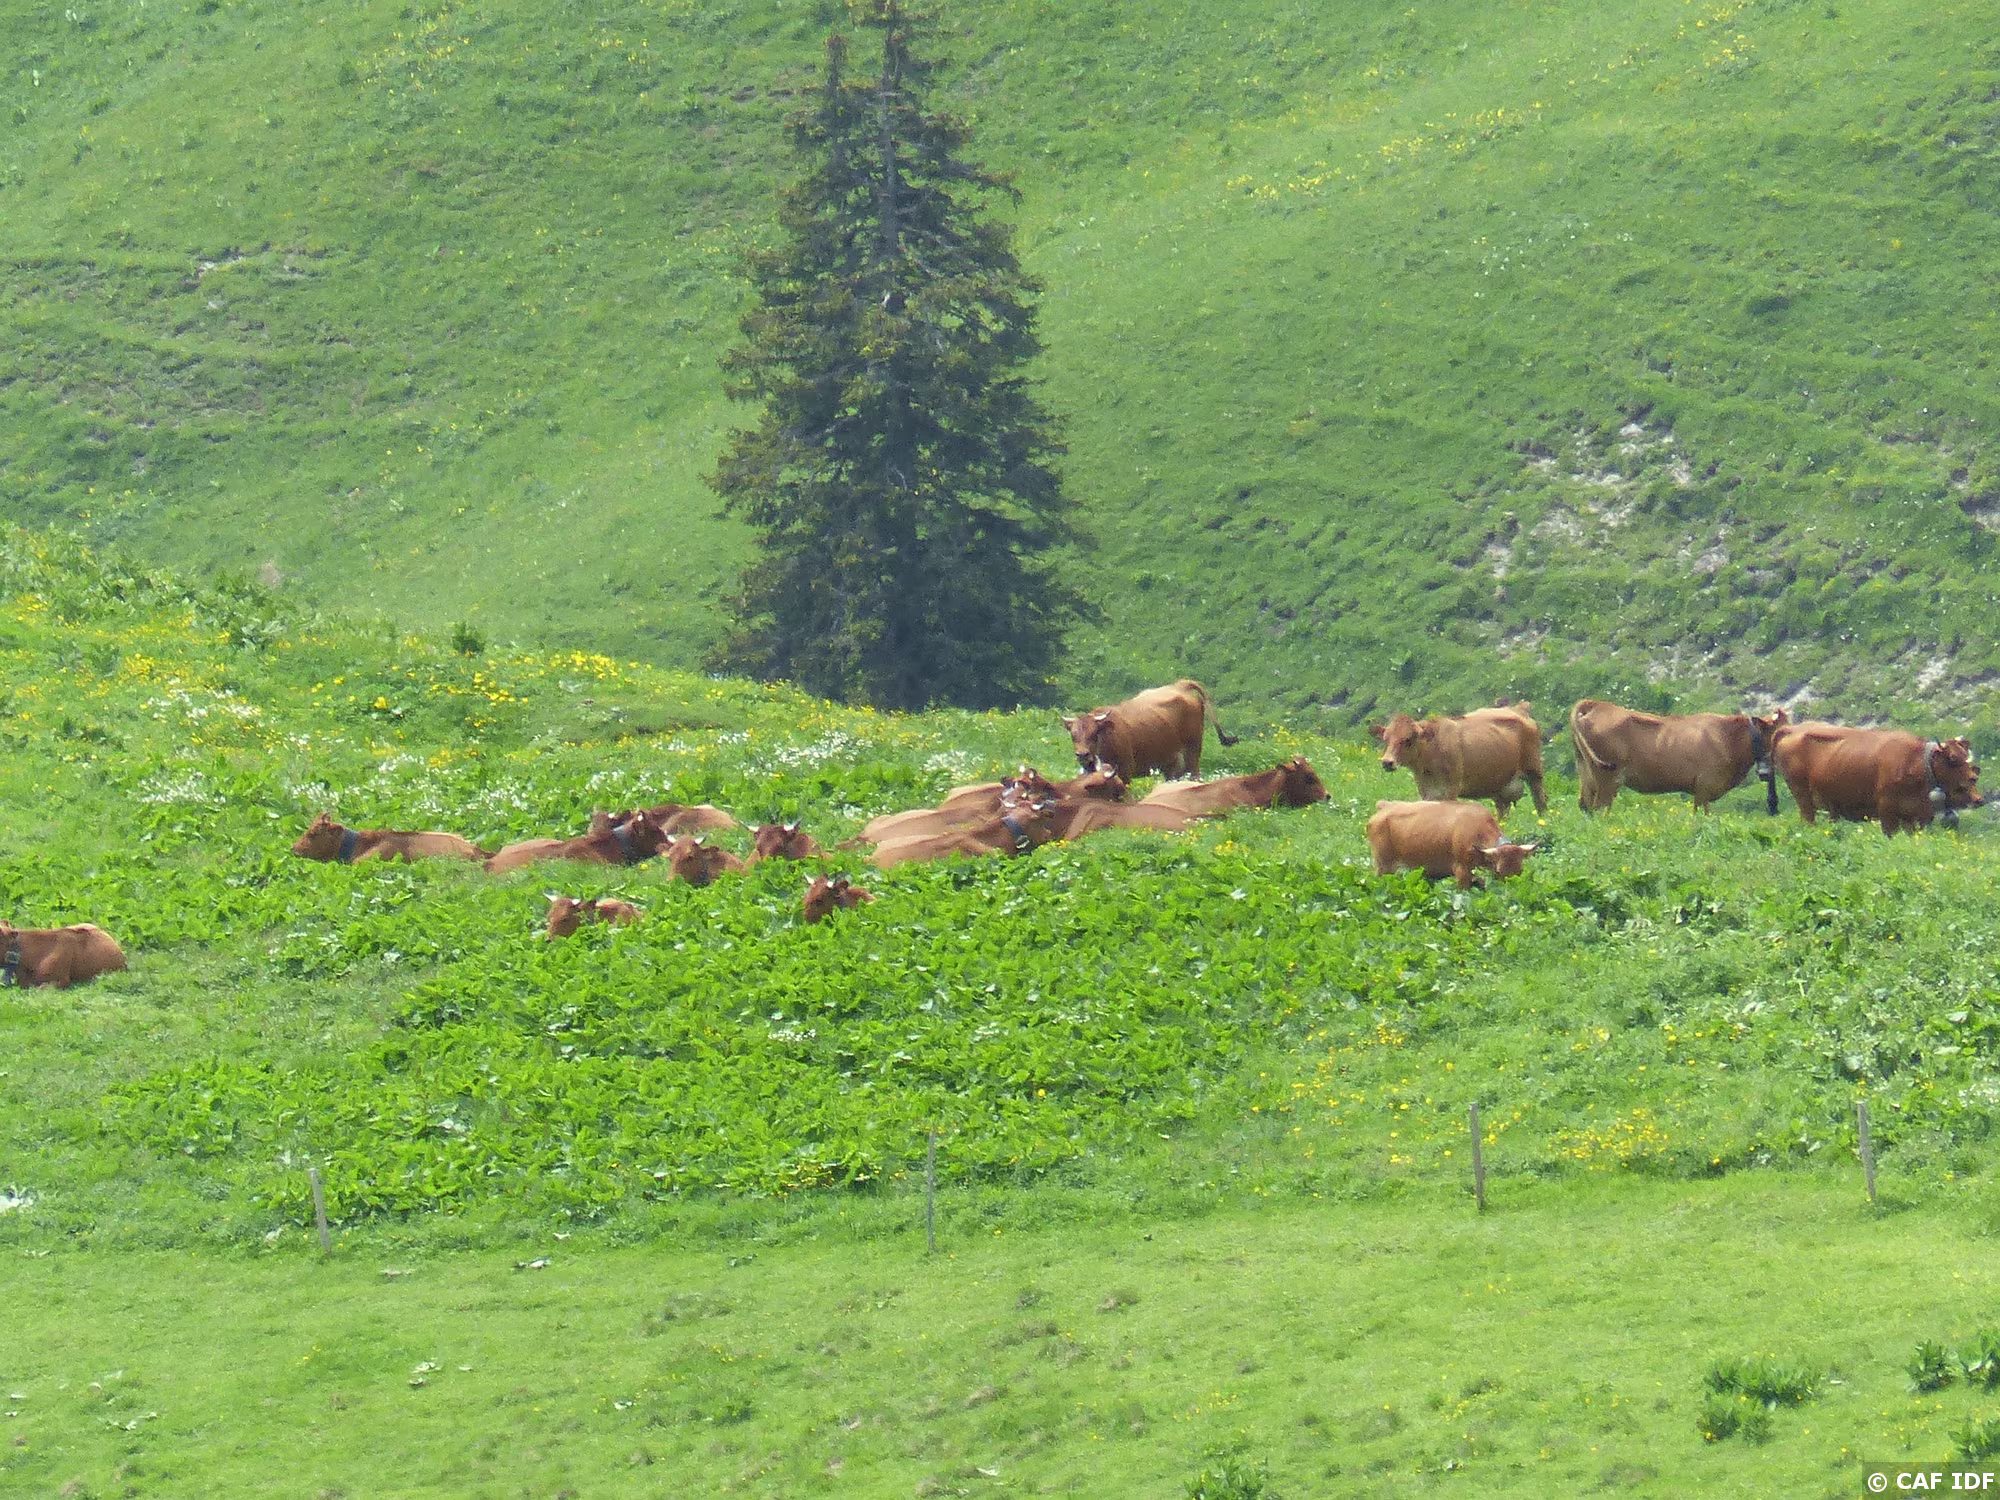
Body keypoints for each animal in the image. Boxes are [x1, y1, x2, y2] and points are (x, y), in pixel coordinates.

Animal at [1064, 680, 1238, 782]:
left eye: (1094, 734)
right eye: (1073, 736)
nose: (1082, 755)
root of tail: (1180, 685)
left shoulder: (1125, 770)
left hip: (1192, 754)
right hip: (1171, 765)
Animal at [1371, 703, 1547, 816]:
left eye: (1408, 740)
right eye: (1386, 739)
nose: (1387, 762)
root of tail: (1519, 708)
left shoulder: (1451, 788)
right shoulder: (1427, 792)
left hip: (1534, 771)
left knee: (1541, 802)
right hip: (1500, 784)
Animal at [1570, 701, 1788, 813]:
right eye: (1779, 731)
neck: (1729, 736)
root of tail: (1597, 705)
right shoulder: (1704, 787)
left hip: (1586, 772)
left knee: (1585, 806)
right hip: (1607, 779)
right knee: (1599, 808)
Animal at [1772, 723, 1982, 836]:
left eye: (1966, 755)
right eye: (1952, 758)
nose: (1974, 777)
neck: (1916, 761)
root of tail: (1792, 728)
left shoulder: (1918, 817)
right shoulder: (1887, 811)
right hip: (1803, 797)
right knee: (1808, 819)